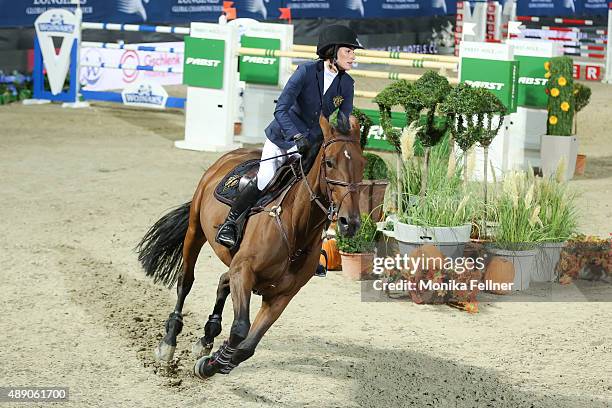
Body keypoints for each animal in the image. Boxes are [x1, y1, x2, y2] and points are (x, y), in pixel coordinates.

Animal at [136, 112, 366, 380]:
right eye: (329, 162)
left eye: (362, 164)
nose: (350, 223)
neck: (296, 228)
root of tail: (232, 155)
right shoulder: (244, 272)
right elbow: (239, 329)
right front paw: (210, 364)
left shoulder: (281, 295)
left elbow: (247, 346)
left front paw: (218, 360)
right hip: (195, 231)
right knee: (186, 281)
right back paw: (169, 341)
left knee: (223, 281)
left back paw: (207, 338)